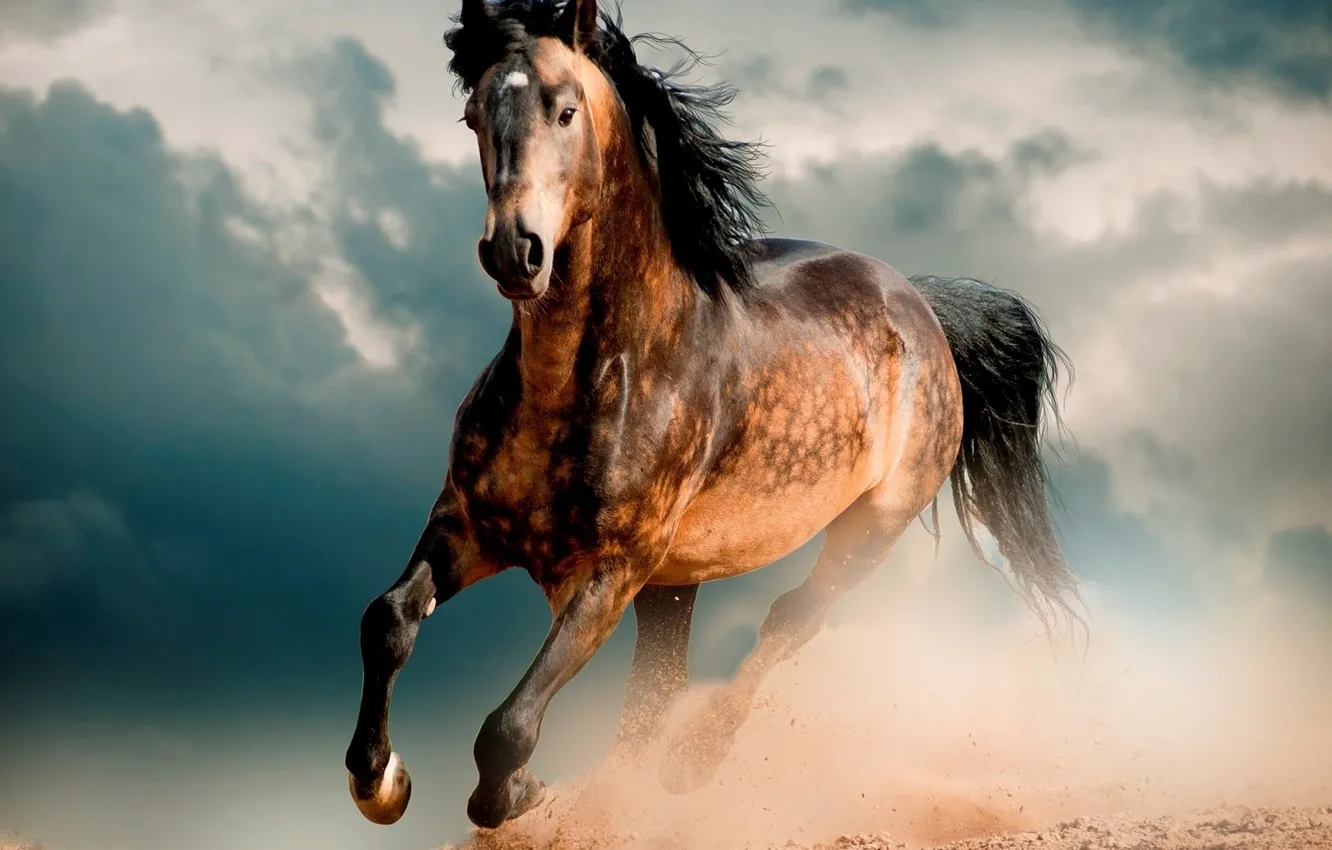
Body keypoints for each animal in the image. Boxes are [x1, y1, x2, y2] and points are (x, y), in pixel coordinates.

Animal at [344, 0, 1082, 831]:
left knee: (790, 620)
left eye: (565, 109)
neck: (588, 378)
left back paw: (691, 764)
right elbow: (387, 621)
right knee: (660, 685)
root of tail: (921, 304)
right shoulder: (467, 525)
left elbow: (509, 726)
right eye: (473, 115)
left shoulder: (610, 572)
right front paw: (381, 781)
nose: (514, 251)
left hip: (869, 529)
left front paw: (519, 793)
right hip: (677, 582)